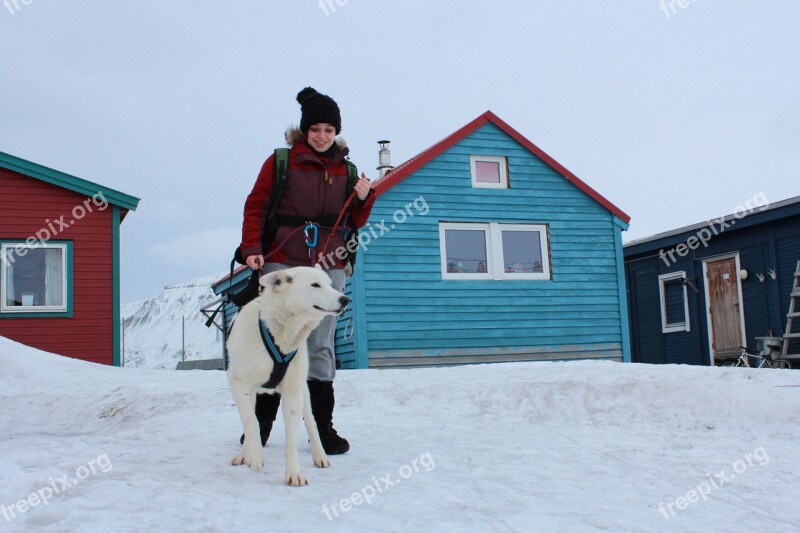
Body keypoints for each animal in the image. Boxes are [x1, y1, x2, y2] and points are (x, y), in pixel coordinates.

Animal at [227, 264, 348, 484]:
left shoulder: (292, 391)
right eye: (315, 285)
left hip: (303, 391)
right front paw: (255, 456)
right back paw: (245, 453)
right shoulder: (238, 383)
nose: (345, 299)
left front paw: (293, 474)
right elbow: (251, 422)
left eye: (330, 284)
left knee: (311, 421)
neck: (279, 334)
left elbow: (291, 438)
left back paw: (320, 454)